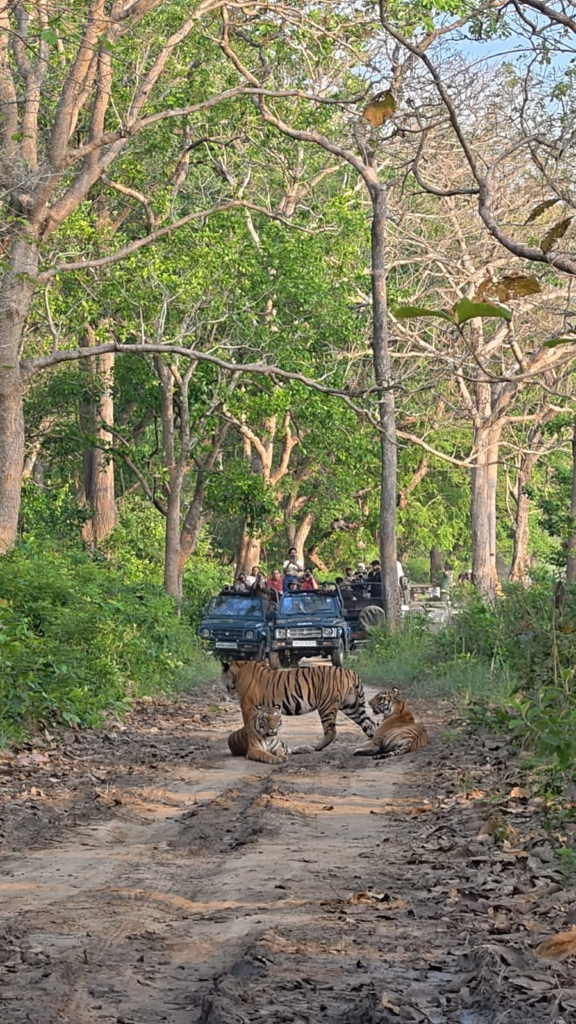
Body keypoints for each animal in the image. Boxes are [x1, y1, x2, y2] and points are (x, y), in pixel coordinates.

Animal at [221, 660, 376, 751]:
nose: (224, 687)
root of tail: (351, 672)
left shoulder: (247, 706)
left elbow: (248, 725)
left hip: (327, 706)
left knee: (331, 731)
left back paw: (315, 747)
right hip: (351, 706)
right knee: (370, 723)